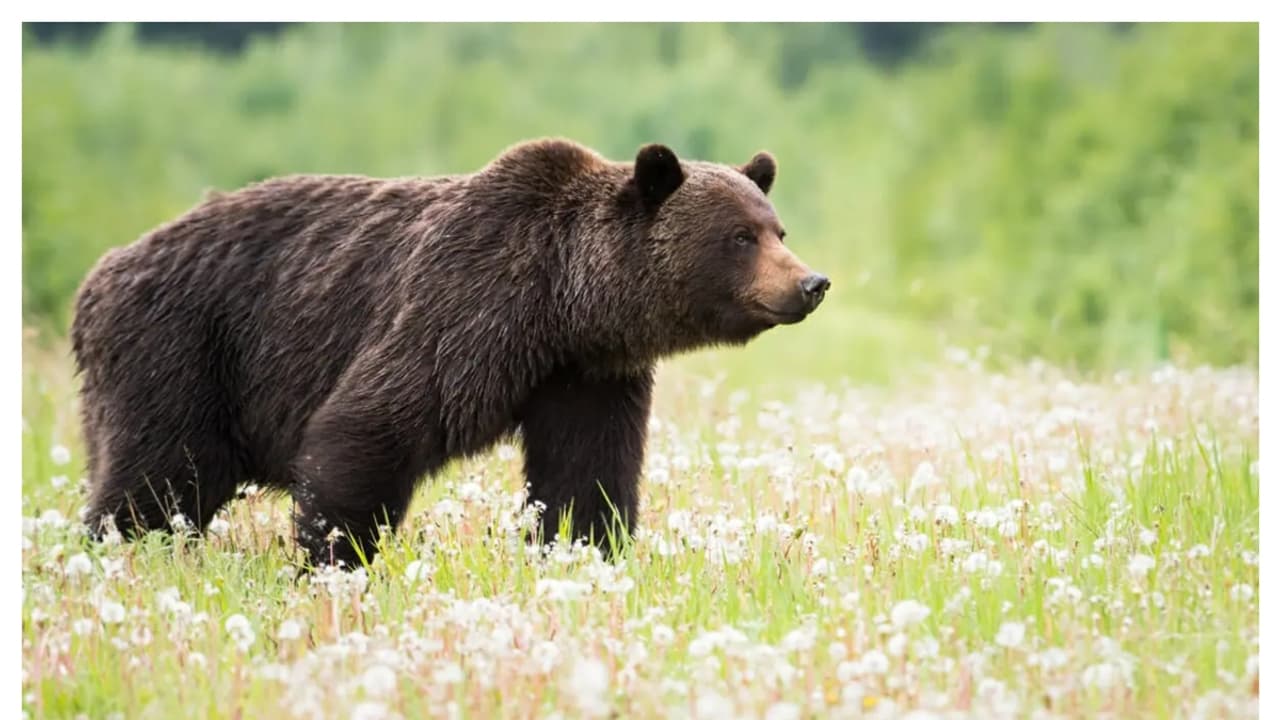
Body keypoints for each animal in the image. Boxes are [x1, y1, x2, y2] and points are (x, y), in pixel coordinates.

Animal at [70, 138, 830, 568]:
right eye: (739, 237)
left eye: (777, 228)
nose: (810, 283)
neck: (563, 304)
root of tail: (99, 275)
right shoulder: (464, 308)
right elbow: (369, 424)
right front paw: (335, 555)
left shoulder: (586, 376)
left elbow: (585, 472)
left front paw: (586, 548)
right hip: (180, 351)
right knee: (158, 477)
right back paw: (120, 548)